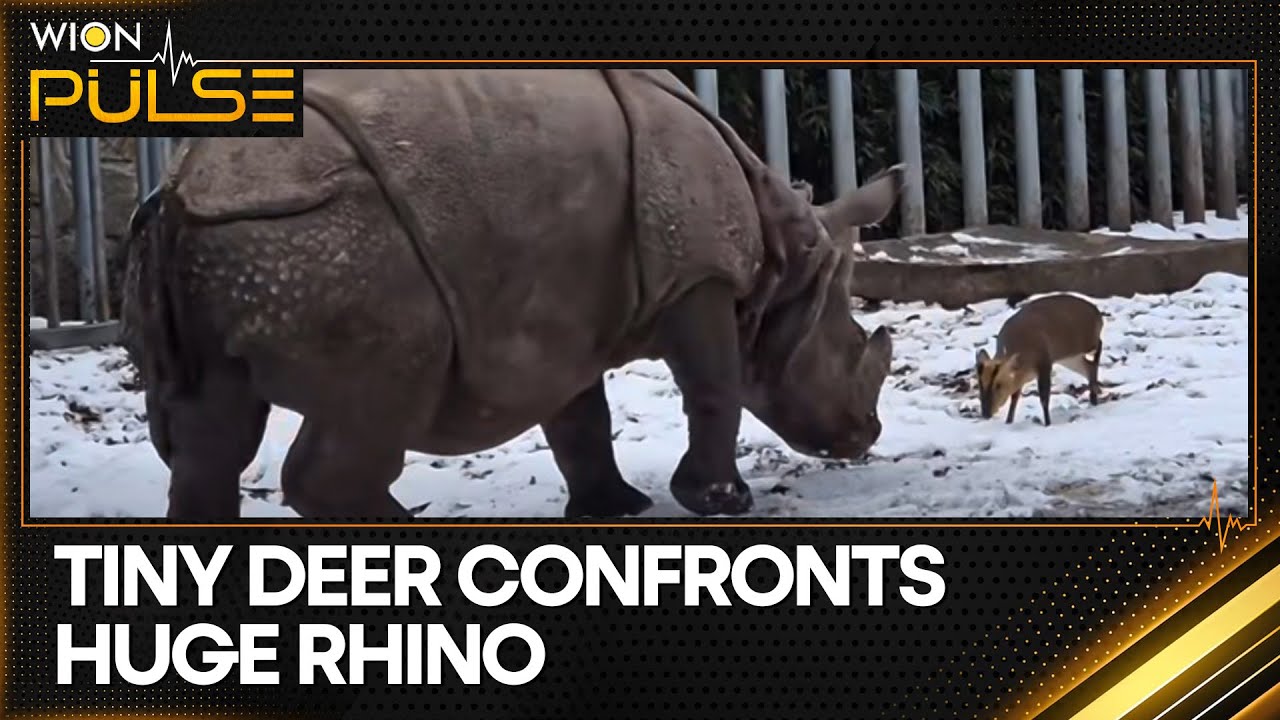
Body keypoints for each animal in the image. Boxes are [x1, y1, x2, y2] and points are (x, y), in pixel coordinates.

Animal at [121, 69, 905, 521]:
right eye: (849, 347)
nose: (865, 436)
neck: (787, 261)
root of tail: (184, 189)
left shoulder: (561, 308)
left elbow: (579, 414)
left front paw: (614, 512)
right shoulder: (698, 277)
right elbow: (714, 388)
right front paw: (721, 504)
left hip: (242, 243)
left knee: (207, 437)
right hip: (331, 239)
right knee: (379, 395)